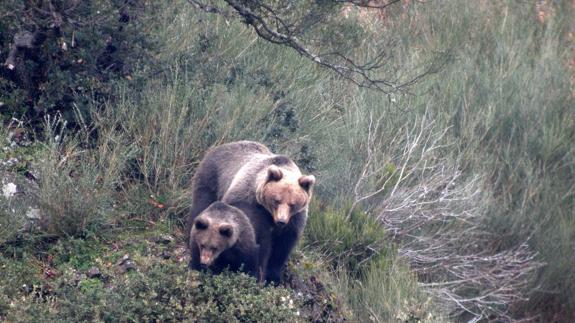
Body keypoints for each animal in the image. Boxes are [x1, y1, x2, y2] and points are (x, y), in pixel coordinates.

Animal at [188, 142, 316, 284]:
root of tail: (224, 145)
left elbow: (282, 247)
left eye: (292, 204)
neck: (269, 213)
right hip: (211, 176)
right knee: (201, 203)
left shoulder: (295, 219)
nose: (281, 220)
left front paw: (273, 277)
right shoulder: (248, 200)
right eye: (277, 200)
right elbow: (259, 241)